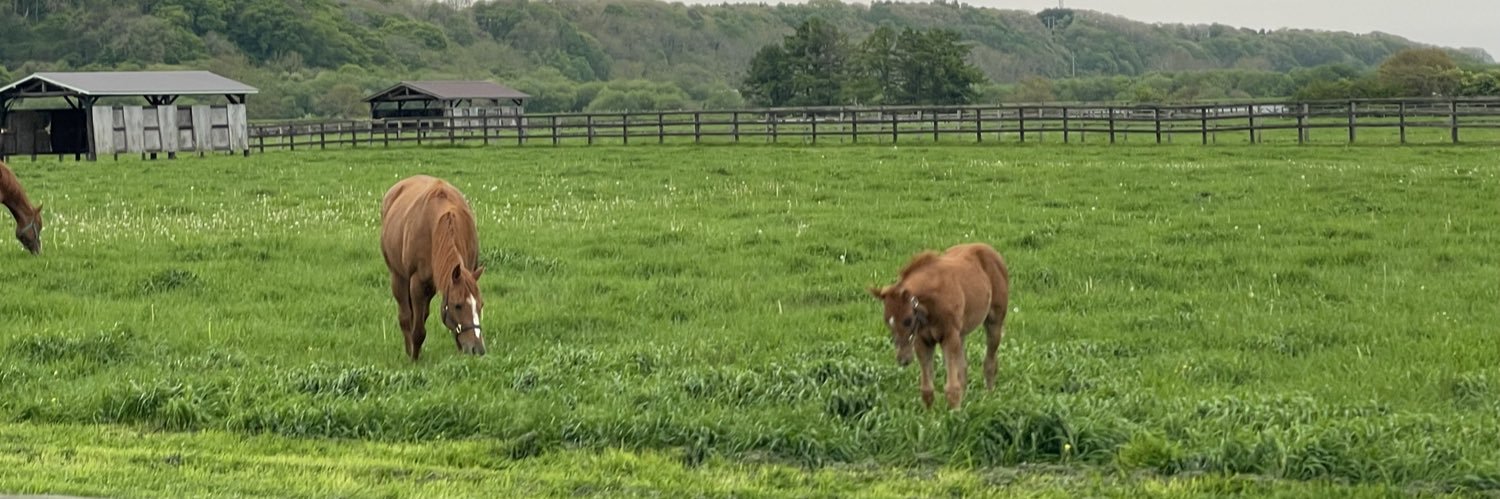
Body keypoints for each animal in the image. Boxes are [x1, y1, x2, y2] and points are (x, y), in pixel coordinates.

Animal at [380, 175, 487, 361]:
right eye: (458, 305)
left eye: (480, 305)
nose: (478, 349)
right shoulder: (417, 283)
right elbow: (418, 330)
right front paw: (414, 358)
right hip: (398, 277)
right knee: (405, 317)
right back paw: (409, 349)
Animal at [869, 242, 1009, 409]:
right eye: (886, 321)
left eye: (908, 320)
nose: (903, 359)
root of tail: (987, 247)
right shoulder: (922, 341)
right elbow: (927, 389)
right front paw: (931, 414)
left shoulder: (949, 336)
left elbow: (951, 387)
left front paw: (955, 414)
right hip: (961, 333)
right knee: (963, 368)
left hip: (994, 321)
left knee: (990, 362)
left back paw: (989, 398)